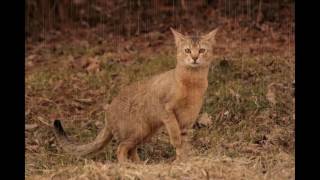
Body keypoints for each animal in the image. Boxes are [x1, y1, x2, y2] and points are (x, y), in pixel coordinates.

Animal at [53, 27, 219, 163]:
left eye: (202, 50)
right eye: (187, 51)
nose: (195, 58)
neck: (193, 84)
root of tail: (107, 116)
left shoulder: (186, 121)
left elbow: (182, 146)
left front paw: (181, 162)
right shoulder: (165, 109)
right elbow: (174, 132)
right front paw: (177, 148)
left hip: (146, 132)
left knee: (130, 149)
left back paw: (139, 165)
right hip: (139, 130)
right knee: (120, 148)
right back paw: (126, 167)